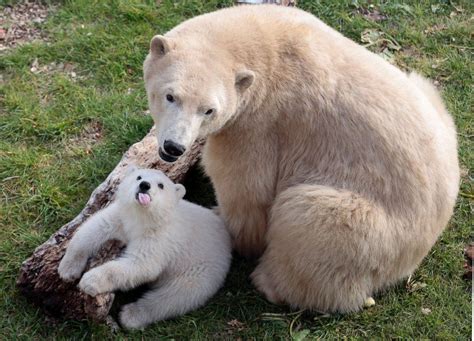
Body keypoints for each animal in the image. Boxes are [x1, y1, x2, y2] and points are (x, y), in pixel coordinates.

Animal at [143, 5, 460, 312]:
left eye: (209, 110)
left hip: (375, 231)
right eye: (170, 96)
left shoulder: (258, 125)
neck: (264, 47)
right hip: (434, 103)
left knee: (307, 218)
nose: (174, 147)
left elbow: (246, 192)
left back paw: (270, 283)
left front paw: (221, 218)